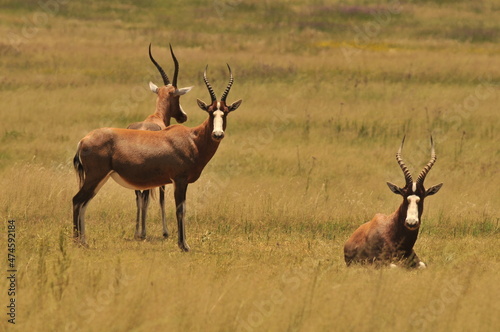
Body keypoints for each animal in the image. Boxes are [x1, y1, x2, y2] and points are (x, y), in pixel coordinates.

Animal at [71, 64, 241, 252]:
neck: (192, 138)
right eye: (211, 112)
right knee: (77, 200)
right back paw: (77, 242)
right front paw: (184, 245)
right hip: (95, 176)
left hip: (99, 179)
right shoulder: (179, 180)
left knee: (84, 203)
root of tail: (83, 140)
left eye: (225, 112)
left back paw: (84, 242)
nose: (217, 134)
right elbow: (180, 209)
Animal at [127, 44, 193, 241]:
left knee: (138, 196)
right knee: (145, 196)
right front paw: (165, 231)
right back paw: (143, 232)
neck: (156, 118)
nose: (183, 116)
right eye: (178, 96)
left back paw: (137, 231)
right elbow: (162, 198)